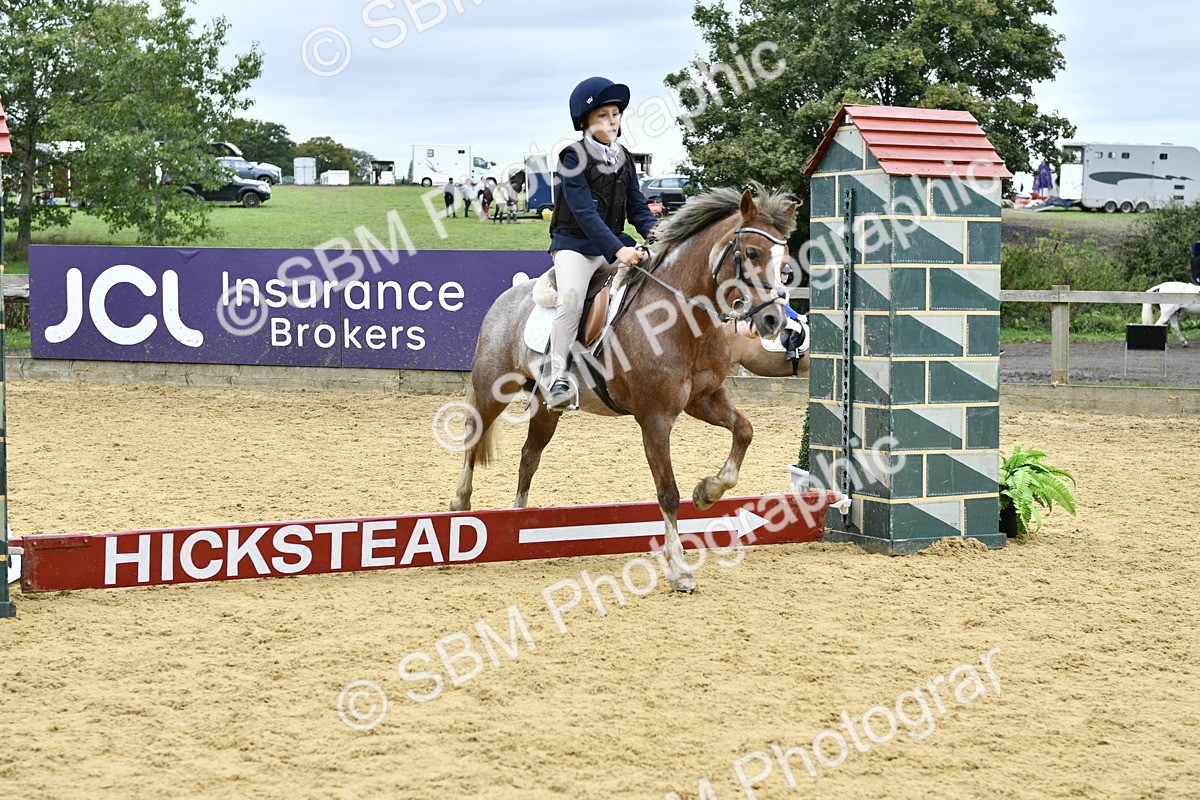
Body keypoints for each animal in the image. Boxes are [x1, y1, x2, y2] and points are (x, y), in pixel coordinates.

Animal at [449, 184, 797, 592]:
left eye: (785, 263)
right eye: (753, 253)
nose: (773, 320)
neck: (681, 317)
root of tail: (510, 295)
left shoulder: (704, 399)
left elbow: (744, 431)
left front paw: (708, 491)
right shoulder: (655, 418)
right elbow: (668, 492)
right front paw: (679, 568)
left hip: (546, 406)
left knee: (528, 457)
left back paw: (517, 522)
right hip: (492, 389)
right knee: (474, 438)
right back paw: (460, 506)